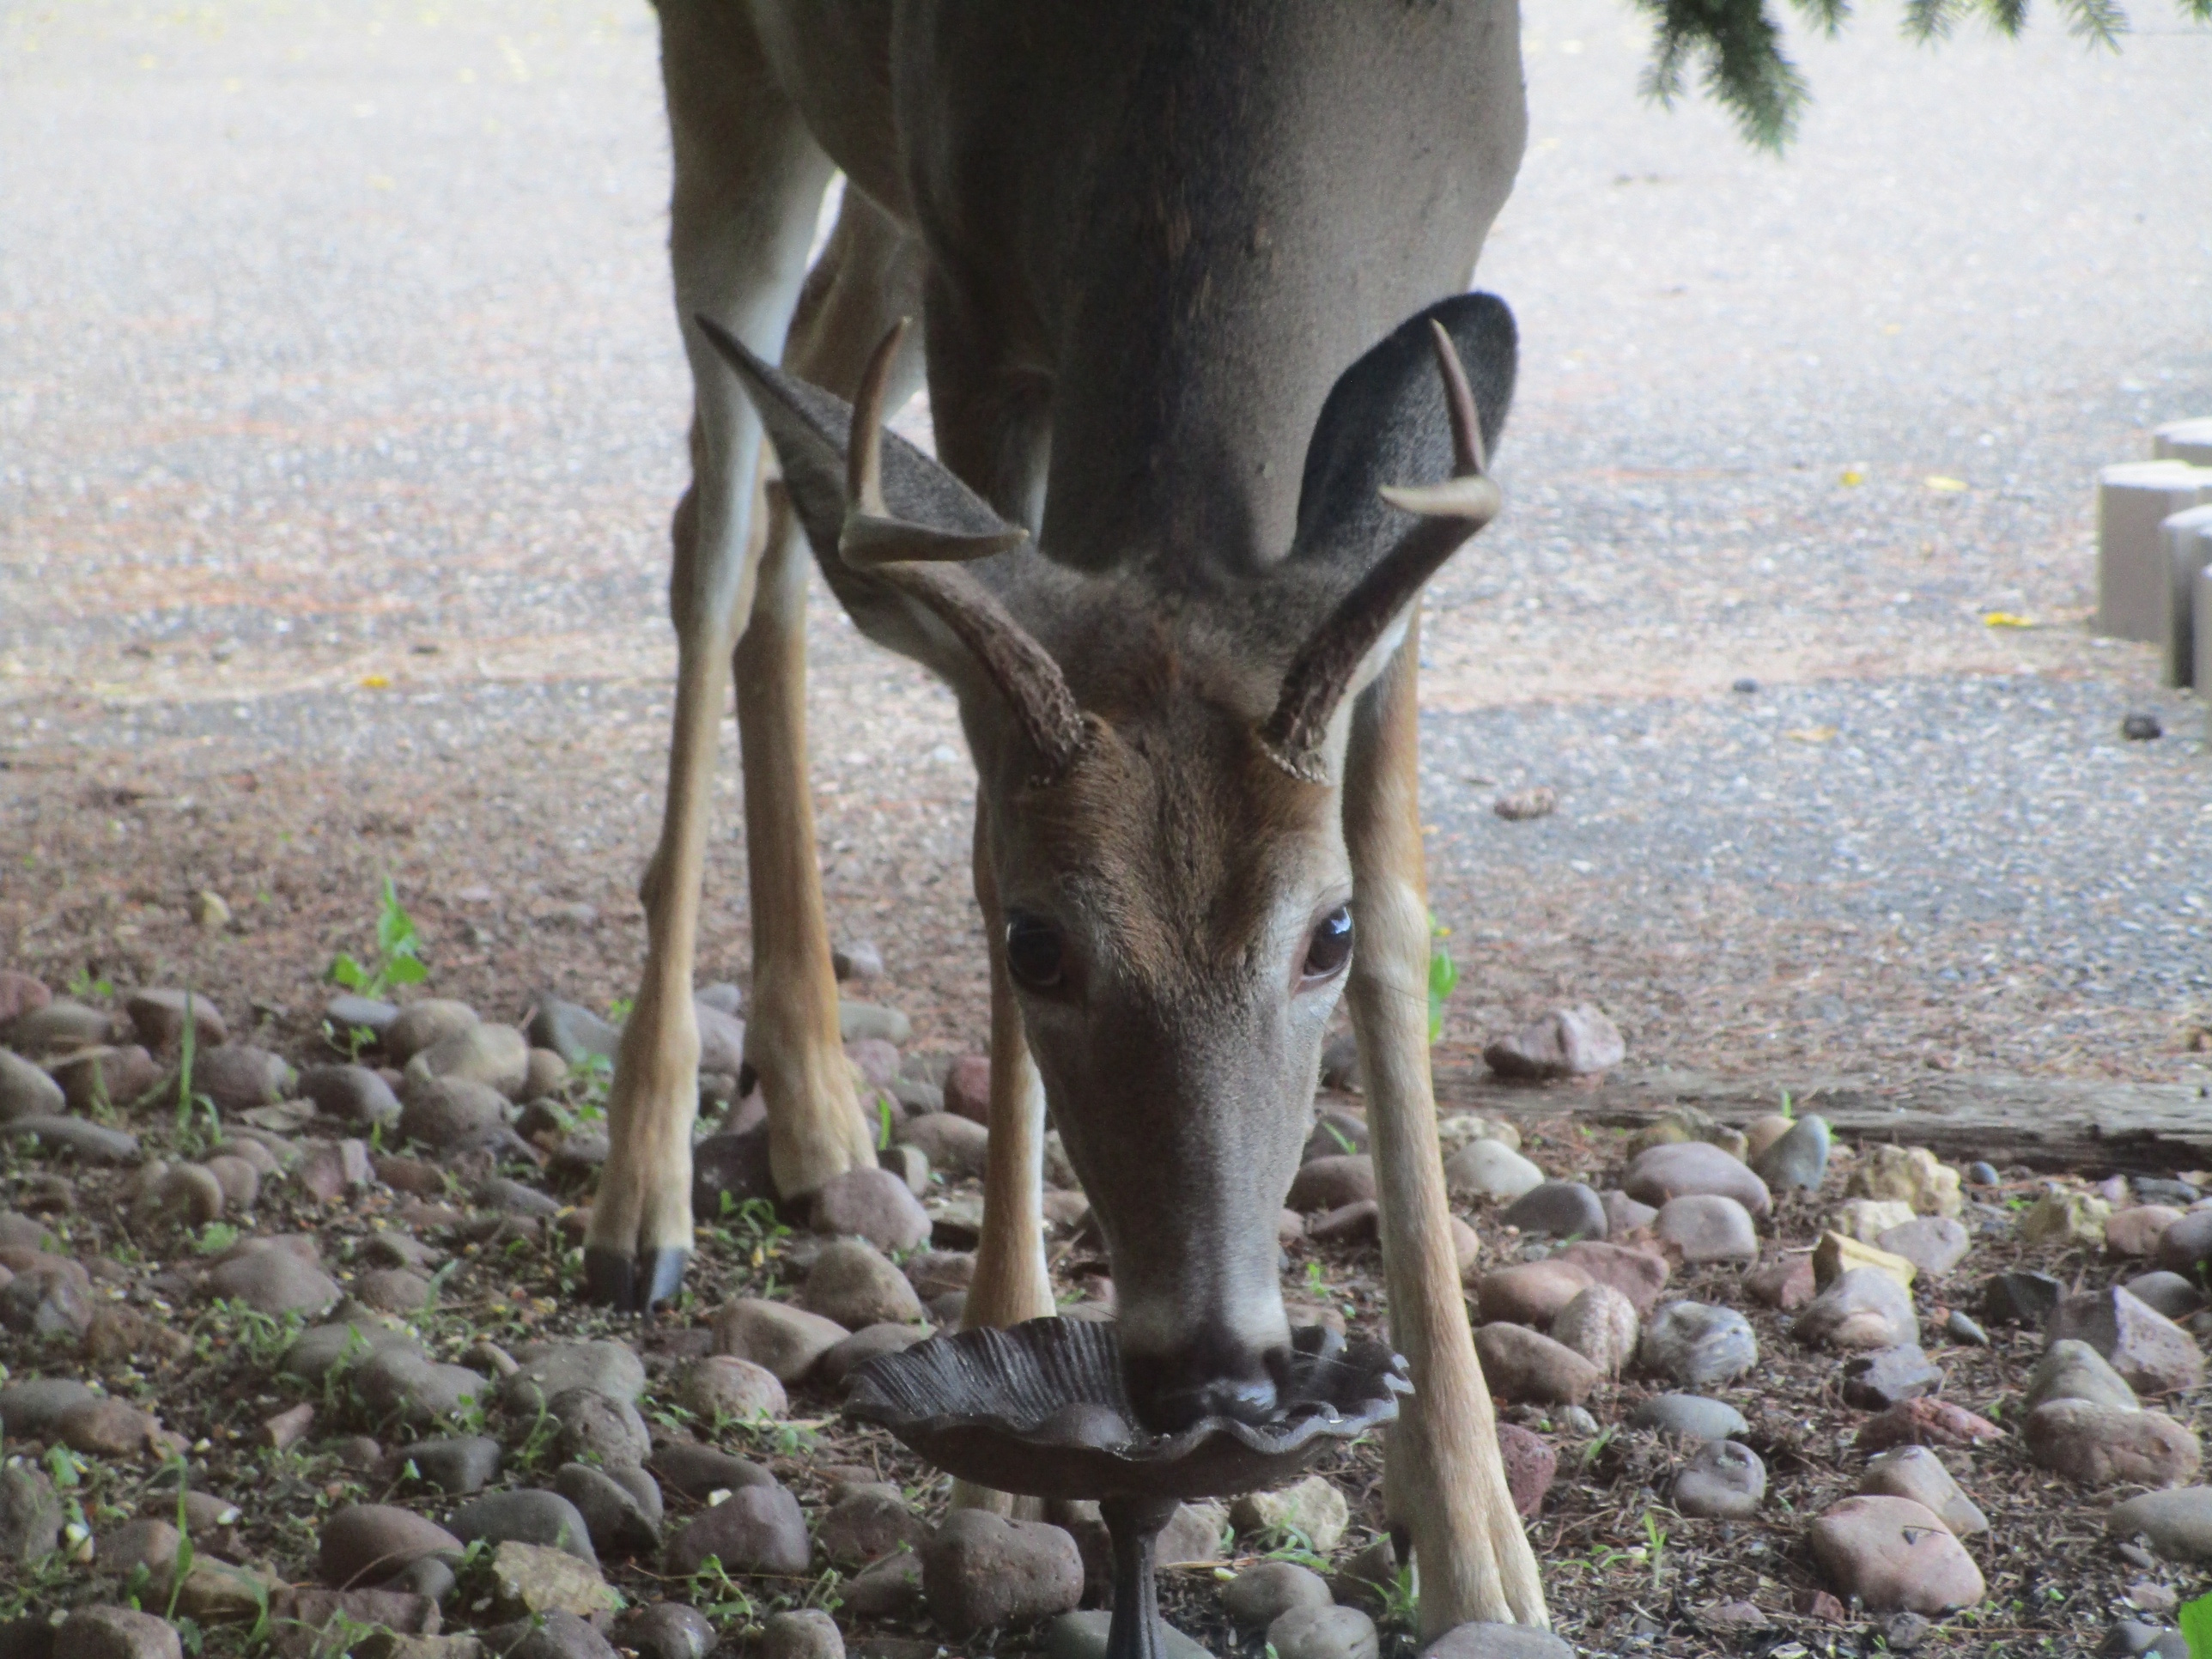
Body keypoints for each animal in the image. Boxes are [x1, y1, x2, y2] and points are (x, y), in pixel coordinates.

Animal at [583, 3, 1547, 1634]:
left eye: (1324, 932)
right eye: (1041, 945)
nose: (1213, 1371)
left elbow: (1413, 900)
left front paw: (1474, 1539)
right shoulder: (977, 293)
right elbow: (981, 826)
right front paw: (1001, 1470)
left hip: (878, 202)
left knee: (800, 481)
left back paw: (816, 1096)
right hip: (729, 90)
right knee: (711, 521)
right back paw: (640, 1193)